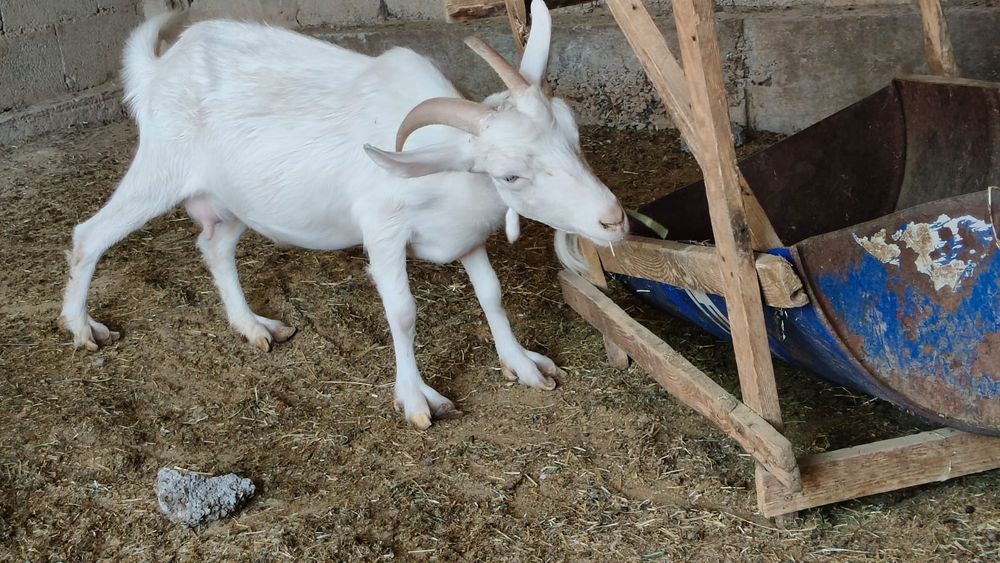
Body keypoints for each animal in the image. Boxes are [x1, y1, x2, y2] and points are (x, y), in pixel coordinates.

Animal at [60, 0, 627, 429]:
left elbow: (492, 294)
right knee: (90, 234)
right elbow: (402, 312)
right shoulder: (384, 229)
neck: (443, 166)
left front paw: (524, 366)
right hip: (160, 166)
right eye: (509, 175)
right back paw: (82, 327)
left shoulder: (466, 236)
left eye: (573, 133)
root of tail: (160, 68)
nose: (613, 219)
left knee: (214, 245)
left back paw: (252, 326)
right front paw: (416, 400)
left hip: (236, 199)